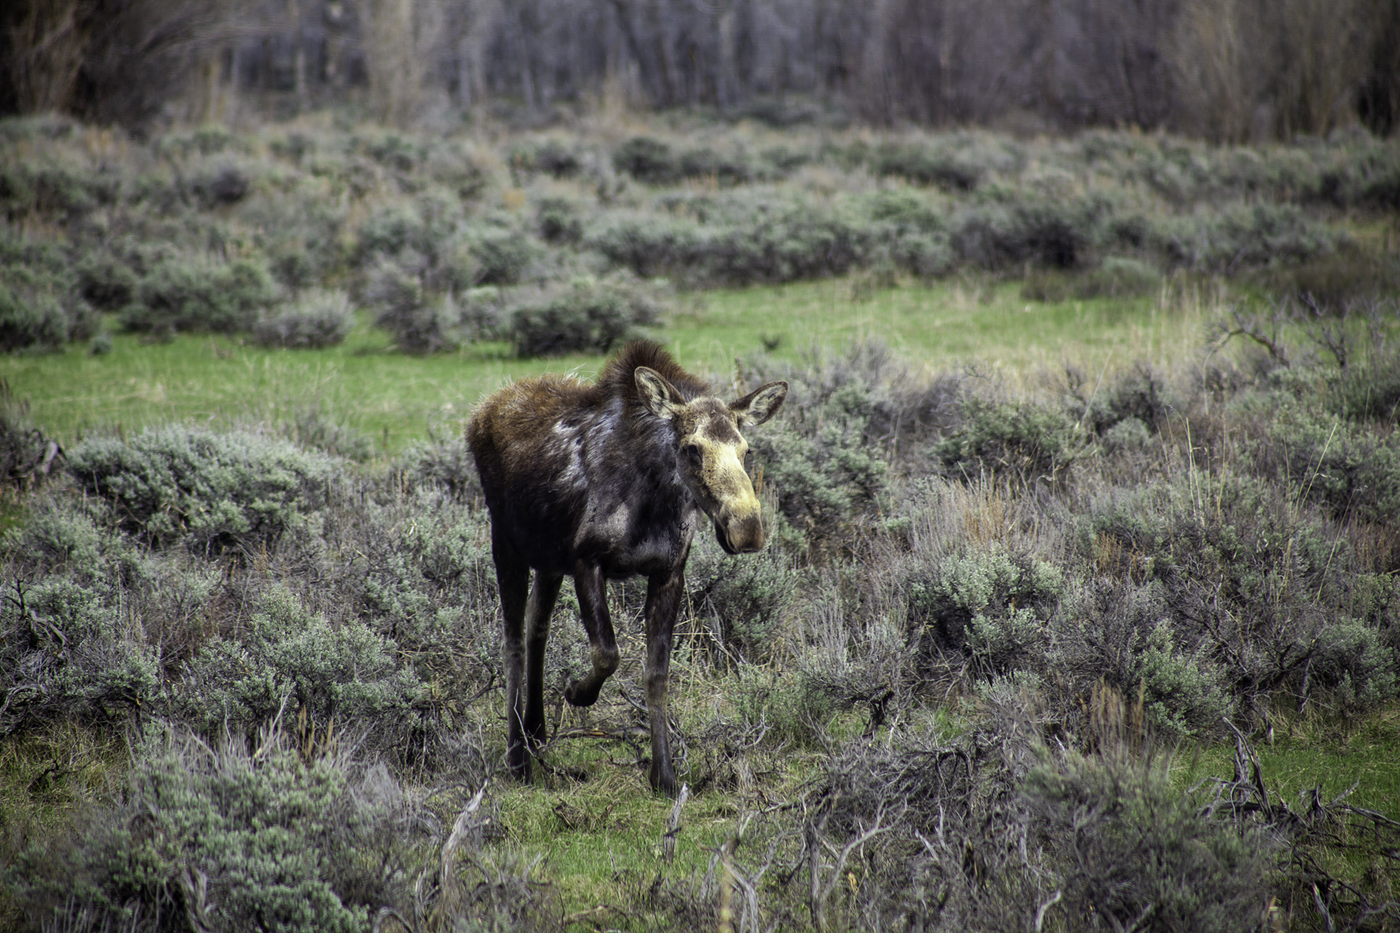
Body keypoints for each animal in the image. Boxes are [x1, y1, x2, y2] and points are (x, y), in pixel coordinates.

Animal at [467, 340, 787, 795]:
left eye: (747, 451)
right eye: (692, 448)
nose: (747, 529)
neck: (654, 501)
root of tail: (480, 413)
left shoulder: (668, 571)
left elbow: (657, 673)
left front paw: (664, 774)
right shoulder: (586, 560)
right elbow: (607, 653)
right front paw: (577, 692)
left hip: (548, 562)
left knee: (536, 628)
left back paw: (536, 732)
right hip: (506, 543)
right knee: (511, 641)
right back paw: (517, 757)